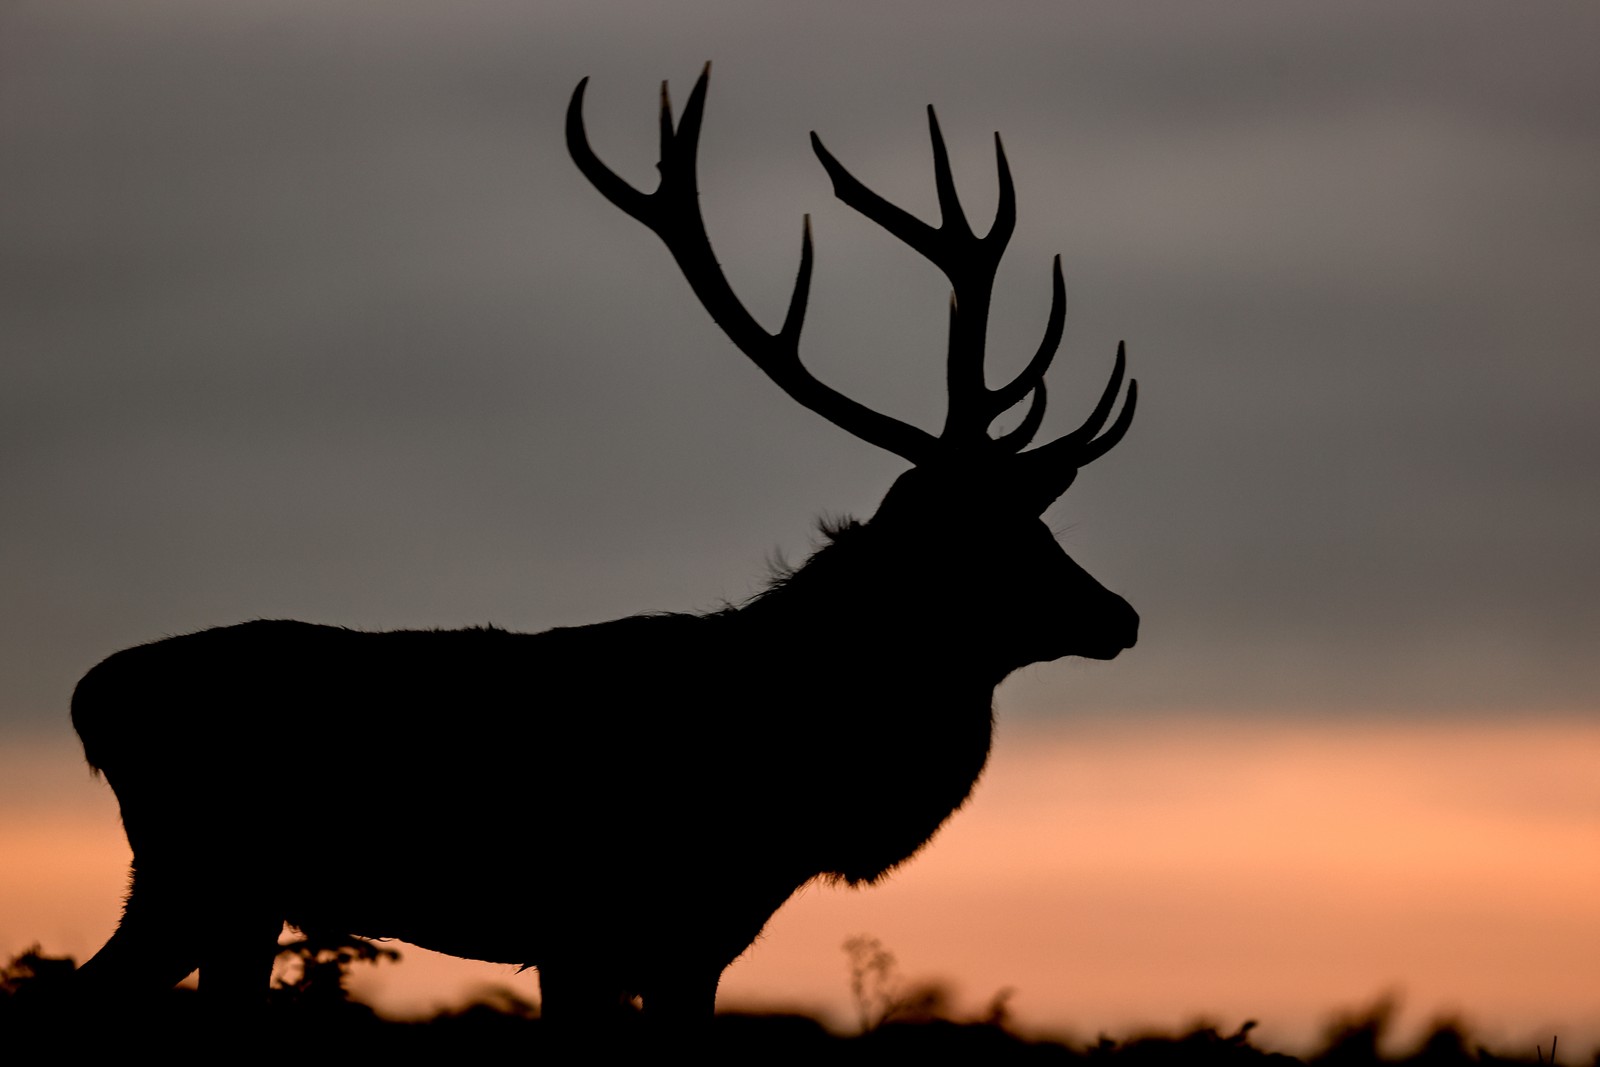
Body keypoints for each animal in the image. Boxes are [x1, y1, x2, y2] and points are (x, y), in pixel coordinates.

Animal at [66, 64, 1138, 1023]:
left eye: (1041, 523)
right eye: (984, 538)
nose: (1121, 614)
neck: (794, 778)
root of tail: (89, 698)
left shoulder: (686, 941)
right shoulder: (598, 926)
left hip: (228, 893)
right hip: (201, 869)